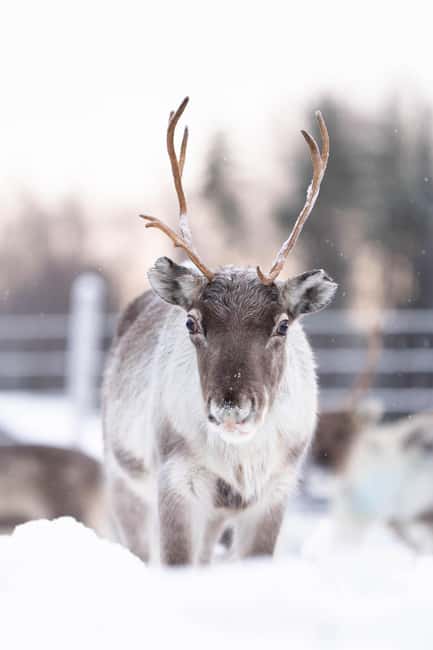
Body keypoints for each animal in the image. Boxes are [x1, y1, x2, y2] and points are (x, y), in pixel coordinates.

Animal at [102, 97, 337, 566]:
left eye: (283, 324)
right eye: (192, 322)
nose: (232, 407)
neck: (241, 459)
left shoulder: (274, 491)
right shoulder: (175, 482)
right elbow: (175, 561)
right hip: (124, 485)